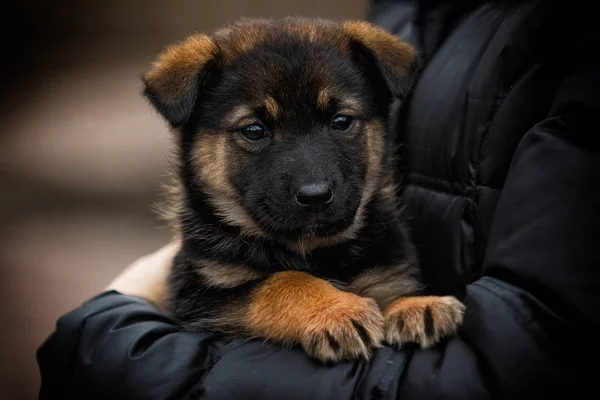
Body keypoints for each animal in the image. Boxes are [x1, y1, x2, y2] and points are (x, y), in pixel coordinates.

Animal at [141, 17, 464, 364]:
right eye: (254, 130)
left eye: (341, 120)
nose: (315, 196)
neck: (314, 251)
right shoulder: (202, 297)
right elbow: (281, 280)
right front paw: (335, 310)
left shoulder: (387, 270)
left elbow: (390, 289)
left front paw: (415, 304)